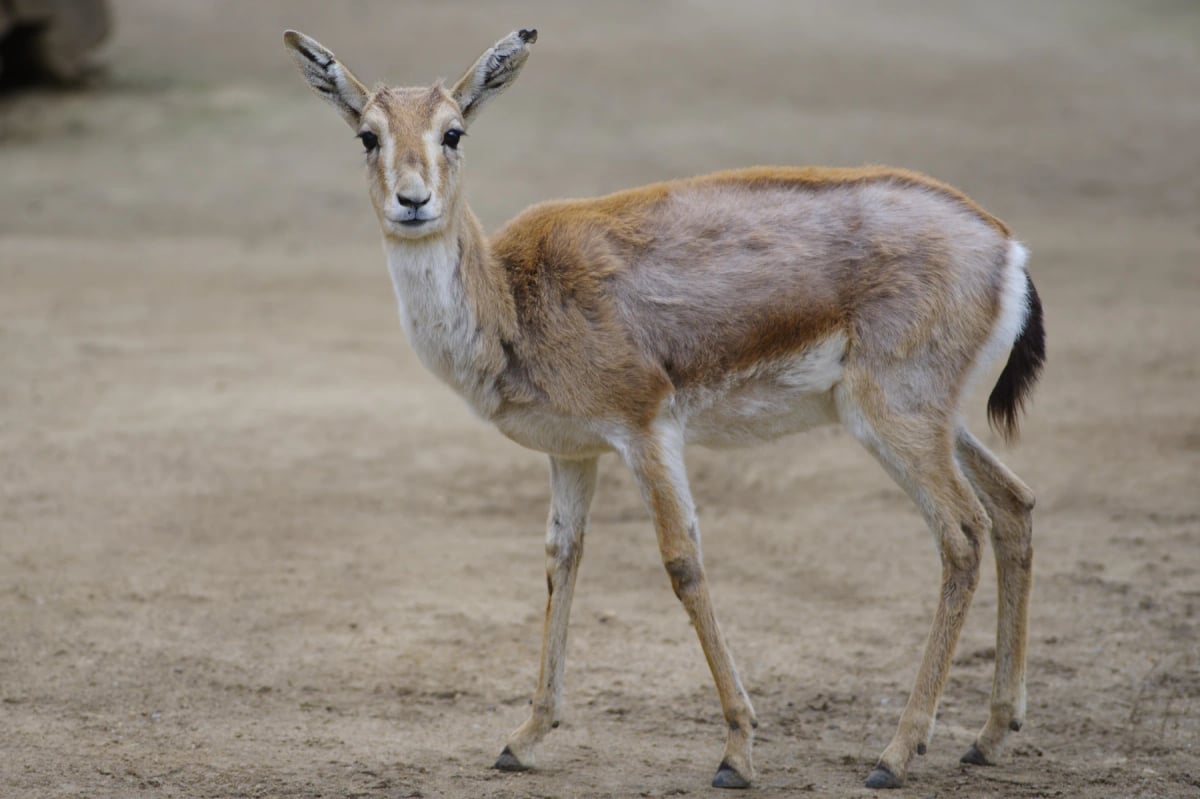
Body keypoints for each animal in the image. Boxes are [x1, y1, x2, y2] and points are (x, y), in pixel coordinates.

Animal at [283, 27, 1045, 791]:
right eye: (368, 135)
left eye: (454, 130)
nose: (413, 201)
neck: (512, 299)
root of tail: (1005, 244)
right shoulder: (573, 451)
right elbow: (562, 558)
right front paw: (524, 738)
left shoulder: (647, 430)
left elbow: (682, 561)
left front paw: (737, 751)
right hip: (933, 420)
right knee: (1014, 504)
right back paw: (989, 735)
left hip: (894, 418)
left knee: (962, 534)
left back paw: (896, 753)